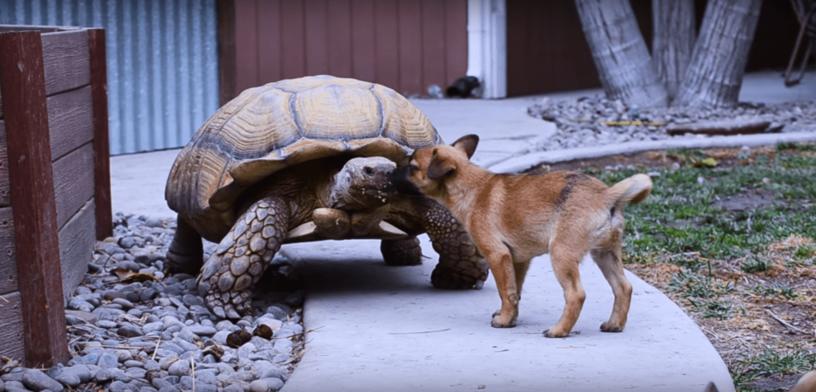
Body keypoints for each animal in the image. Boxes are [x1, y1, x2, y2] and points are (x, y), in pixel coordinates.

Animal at [404, 135, 652, 336]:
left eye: (413, 167)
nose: (400, 169)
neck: (471, 185)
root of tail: (606, 195)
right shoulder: (517, 261)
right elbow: (515, 292)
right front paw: (510, 317)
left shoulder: (497, 255)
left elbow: (506, 292)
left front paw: (504, 320)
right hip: (605, 254)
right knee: (623, 287)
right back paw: (614, 324)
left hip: (561, 254)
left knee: (576, 295)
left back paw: (558, 330)